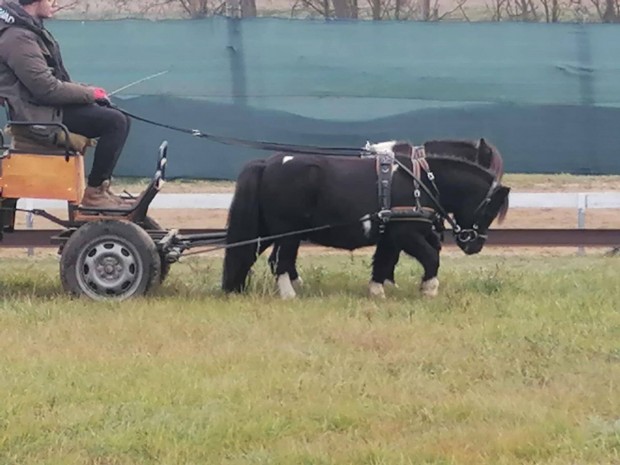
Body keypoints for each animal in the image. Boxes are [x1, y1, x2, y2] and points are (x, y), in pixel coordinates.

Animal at [222, 141, 508, 300]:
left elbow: (384, 260)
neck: (420, 180)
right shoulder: (405, 234)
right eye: (489, 210)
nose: (474, 245)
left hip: (268, 230)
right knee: (279, 261)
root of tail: (267, 164)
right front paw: (429, 289)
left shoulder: (391, 235)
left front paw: (378, 289)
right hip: (287, 233)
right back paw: (289, 294)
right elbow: (431, 257)